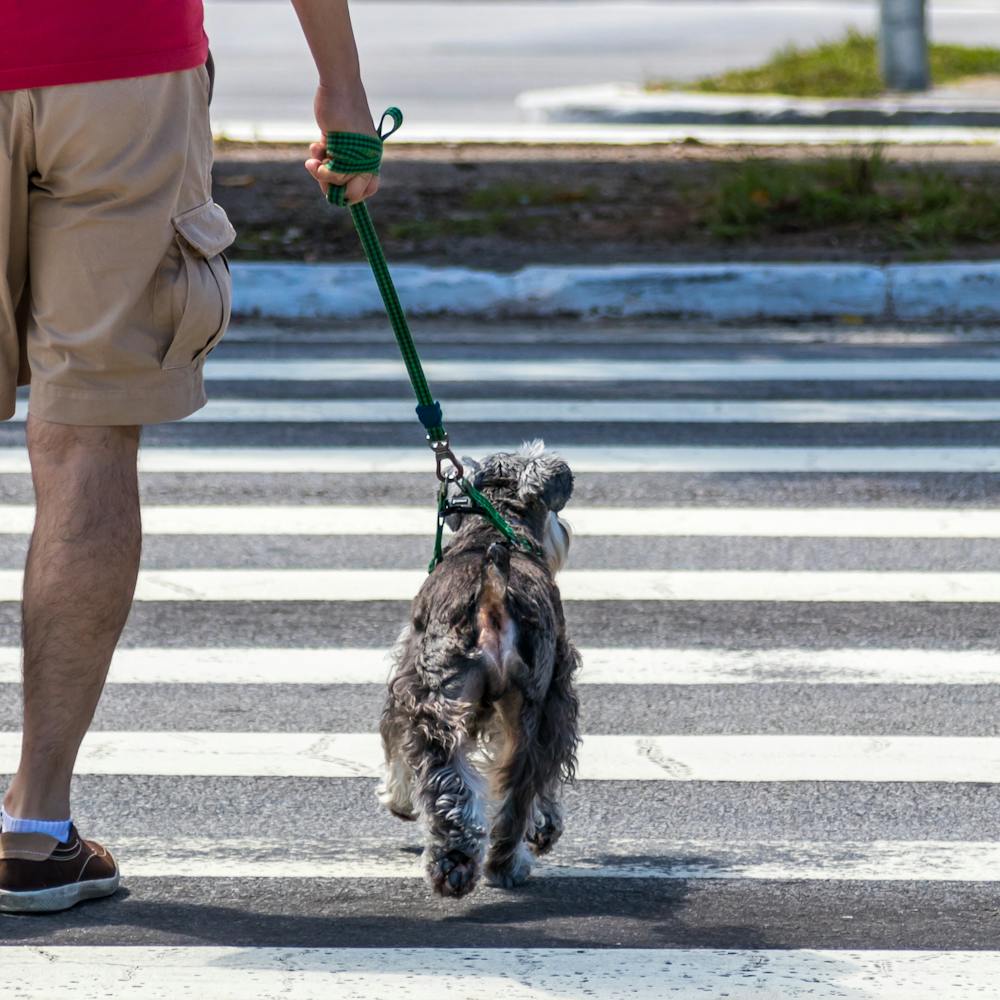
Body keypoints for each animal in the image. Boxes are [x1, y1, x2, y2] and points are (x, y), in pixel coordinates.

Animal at [376, 442, 584, 896]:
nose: (565, 531)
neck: (496, 526)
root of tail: (495, 585)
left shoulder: (405, 678)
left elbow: (396, 747)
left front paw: (398, 800)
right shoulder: (558, 699)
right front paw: (546, 827)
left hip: (440, 701)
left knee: (451, 784)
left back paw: (456, 864)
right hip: (534, 710)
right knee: (521, 788)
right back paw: (503, 864)